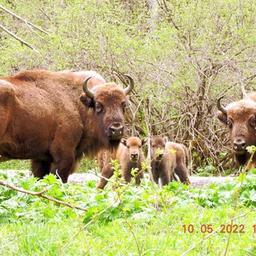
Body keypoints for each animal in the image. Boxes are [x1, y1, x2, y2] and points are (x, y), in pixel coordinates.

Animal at [0, 68, 134, 182]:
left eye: (123, 105)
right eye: (98, 106)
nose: (116, 129)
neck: (78, 104)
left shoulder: (41, 158)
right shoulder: (64, 157)